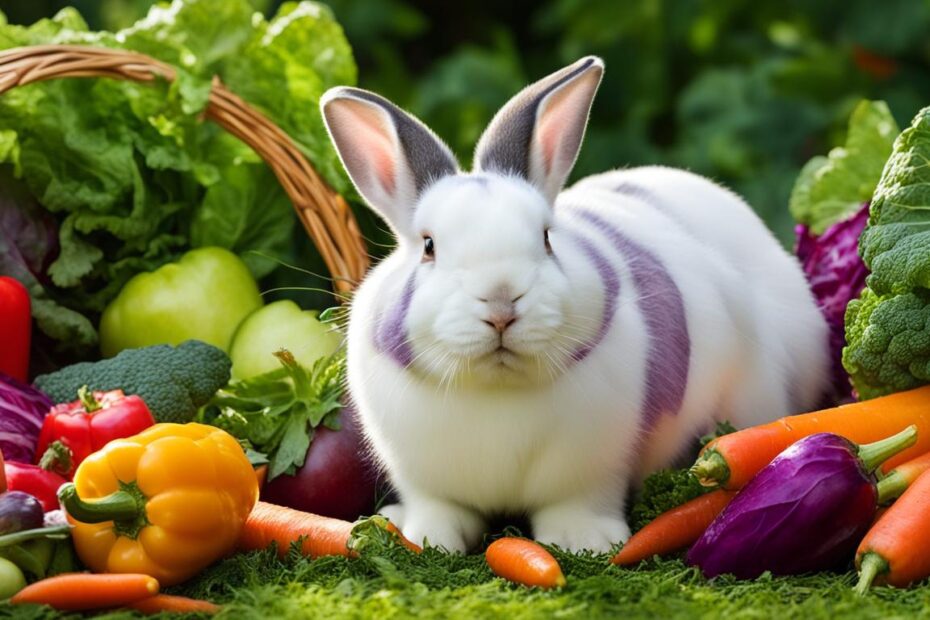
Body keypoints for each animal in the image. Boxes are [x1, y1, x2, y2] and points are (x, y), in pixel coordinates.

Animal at [320, 56, 831, 553]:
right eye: (428, 246)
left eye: (547, 238)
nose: (502, 302)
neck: (495, 390)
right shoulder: (422, 478)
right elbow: (438, 508)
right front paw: (419, 537)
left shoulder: (592, 469)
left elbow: (577, 503)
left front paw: (585, 543)